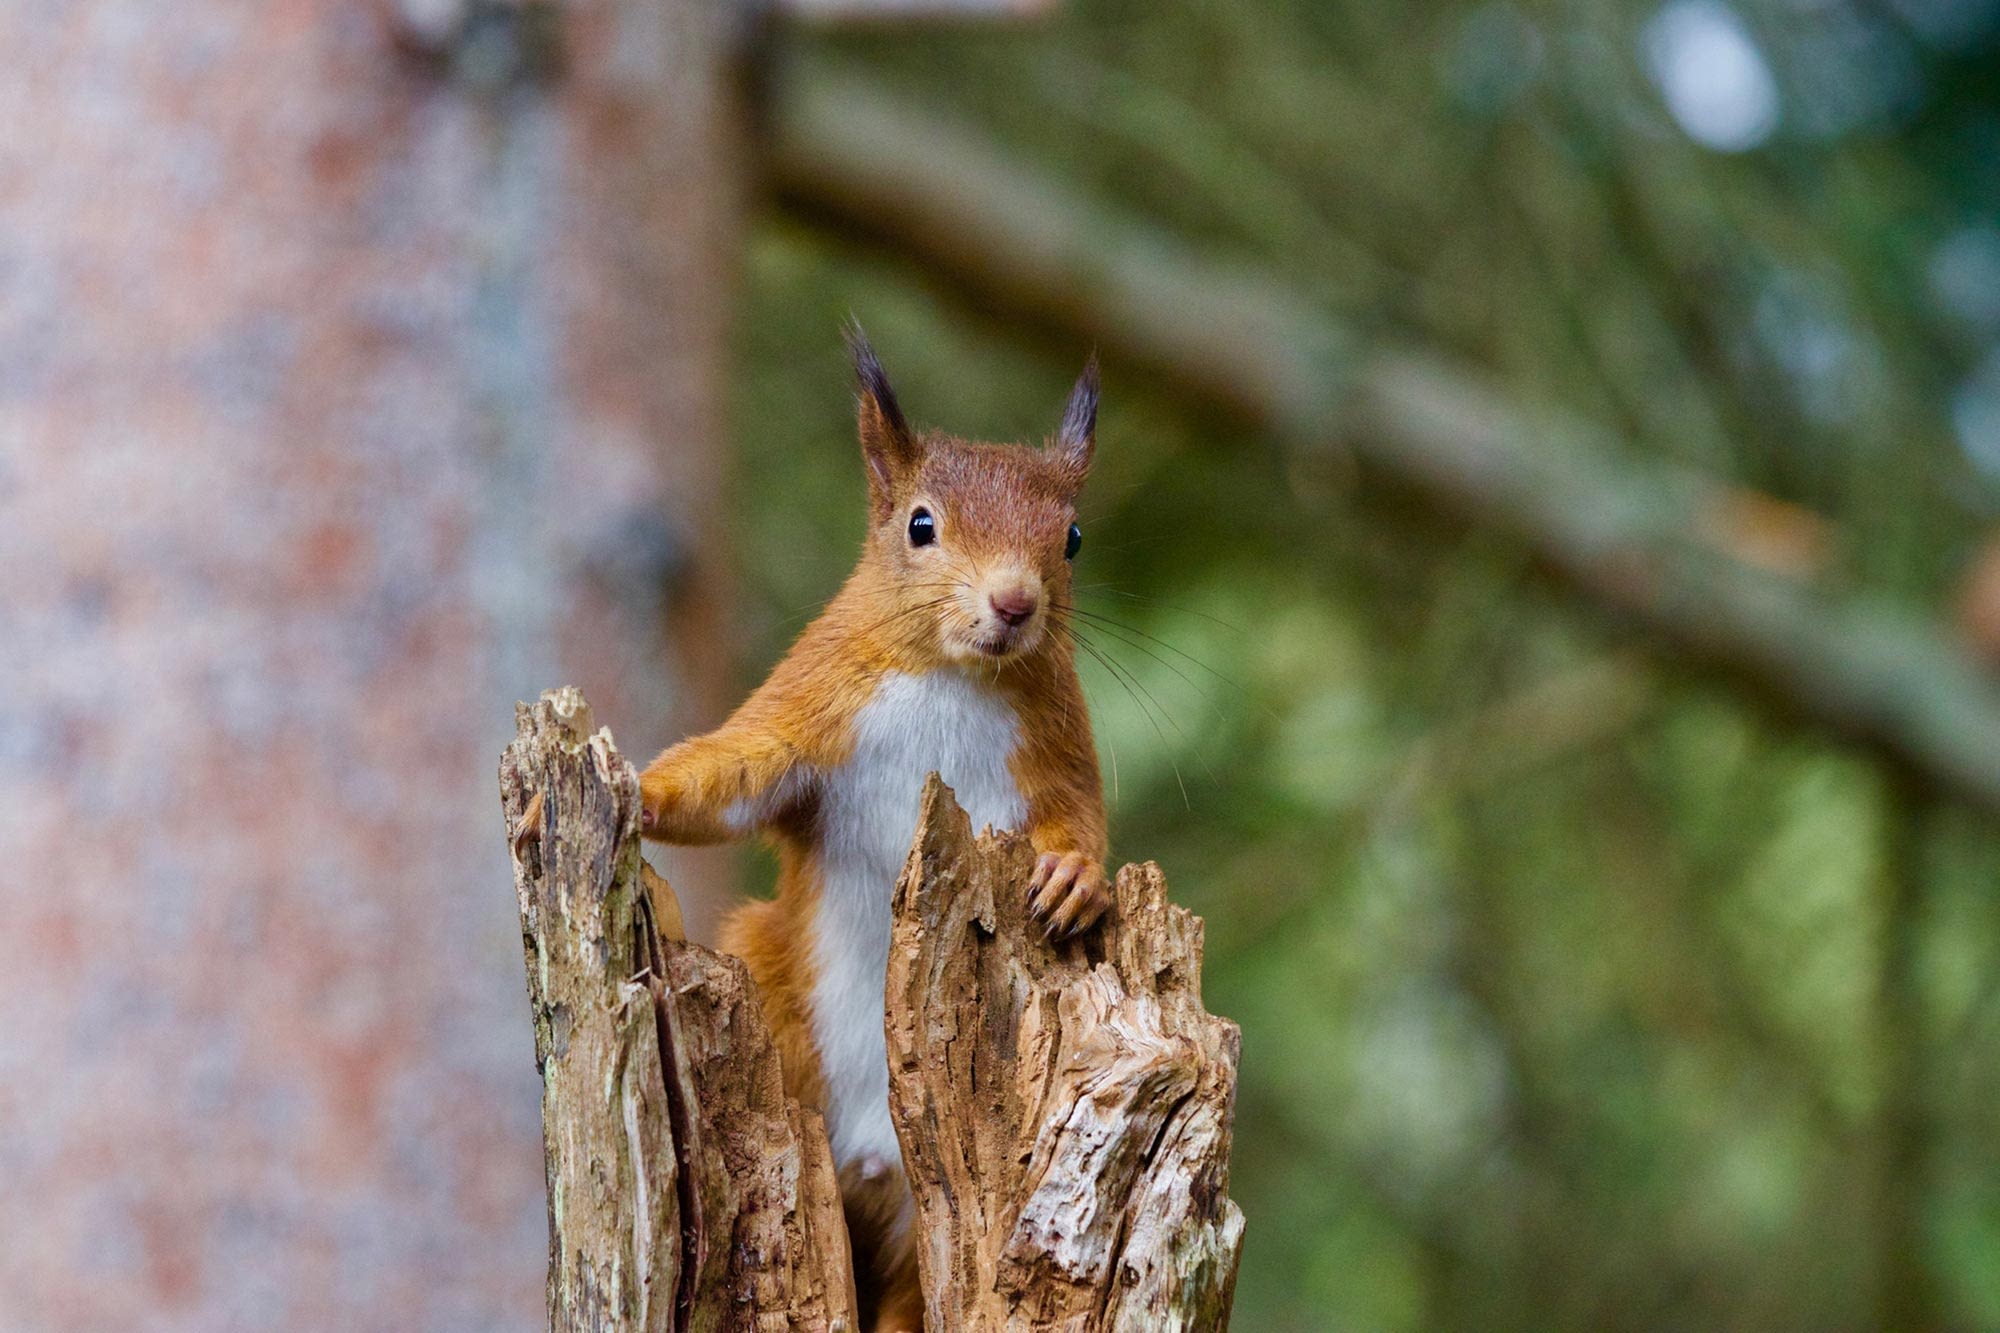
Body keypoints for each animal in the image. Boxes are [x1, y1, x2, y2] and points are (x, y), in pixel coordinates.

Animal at [536, 330, 1112, 1320]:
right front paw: (632, 790)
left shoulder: (1058, 745)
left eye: (1071, 537)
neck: (952, 675)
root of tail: (876, 1170)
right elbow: (730, 775)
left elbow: (1082, 816)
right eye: (920, 525)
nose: (1014, 604)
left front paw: (1077, 878)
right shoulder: (811, 707)